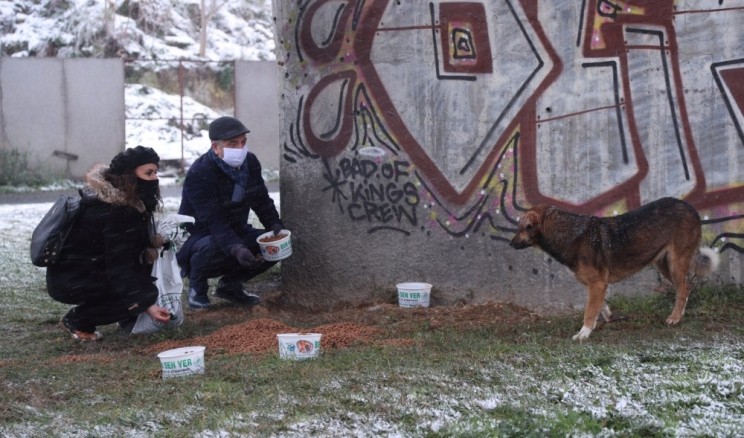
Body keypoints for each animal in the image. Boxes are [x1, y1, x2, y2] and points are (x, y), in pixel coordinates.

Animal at [508, 197, 716, 340]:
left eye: (522, 228)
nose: (510, 244)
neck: (571, 235)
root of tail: (690, 207)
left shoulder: (597, 284)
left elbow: (589, 311)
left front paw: (583, 334)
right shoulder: (598, 285)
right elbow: (600, 306)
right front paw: (607, 318)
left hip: (675, 262)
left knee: (682, 290)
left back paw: (675, 318)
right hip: (662, 263)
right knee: (686, 288)